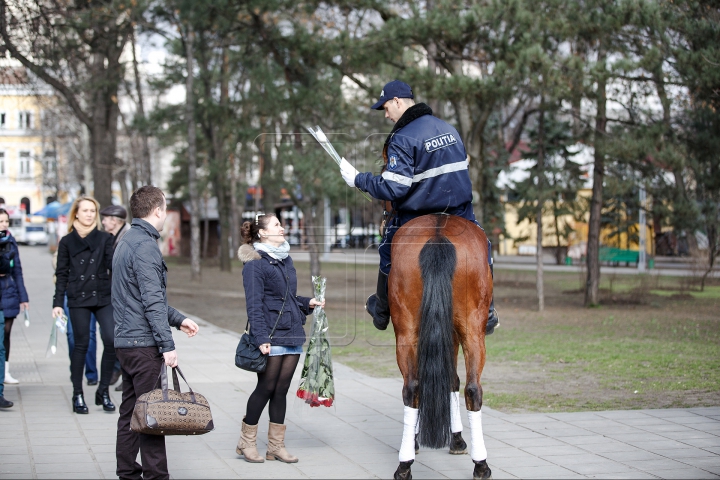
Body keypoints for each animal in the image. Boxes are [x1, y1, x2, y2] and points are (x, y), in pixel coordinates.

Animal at [390, 215, 492, 480]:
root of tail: (437, 234)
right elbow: (452, 381)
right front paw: (455, 439)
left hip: (409, 331)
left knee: (414, 388)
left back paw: (405, 464)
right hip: (470, 330)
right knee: (470, 389)